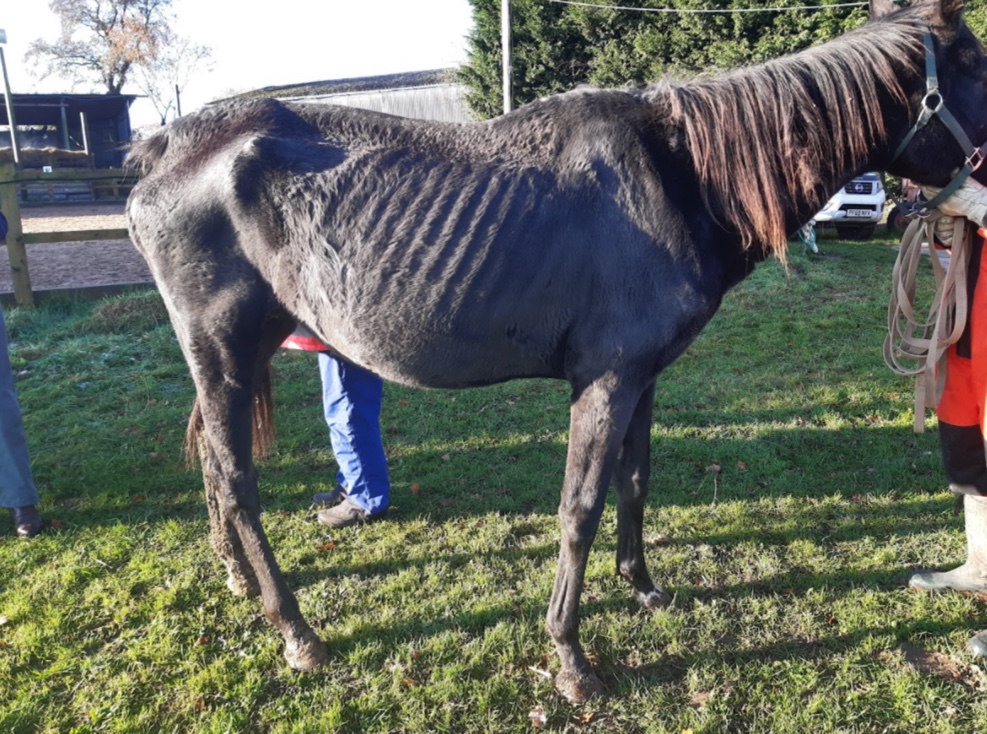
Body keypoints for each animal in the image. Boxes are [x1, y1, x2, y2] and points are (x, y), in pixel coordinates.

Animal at [125, 0, 987, 703]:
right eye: (976, 63)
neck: (680, 175)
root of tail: (170, 145)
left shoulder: (643, 376)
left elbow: (635, 481)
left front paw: (642, 587)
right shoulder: (603, 381)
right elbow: (580, 507)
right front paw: (570, 657)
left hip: (234, 357)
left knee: (216, 472)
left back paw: (239, 583)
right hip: (223, 349)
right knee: (237, 483)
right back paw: (298, 633)